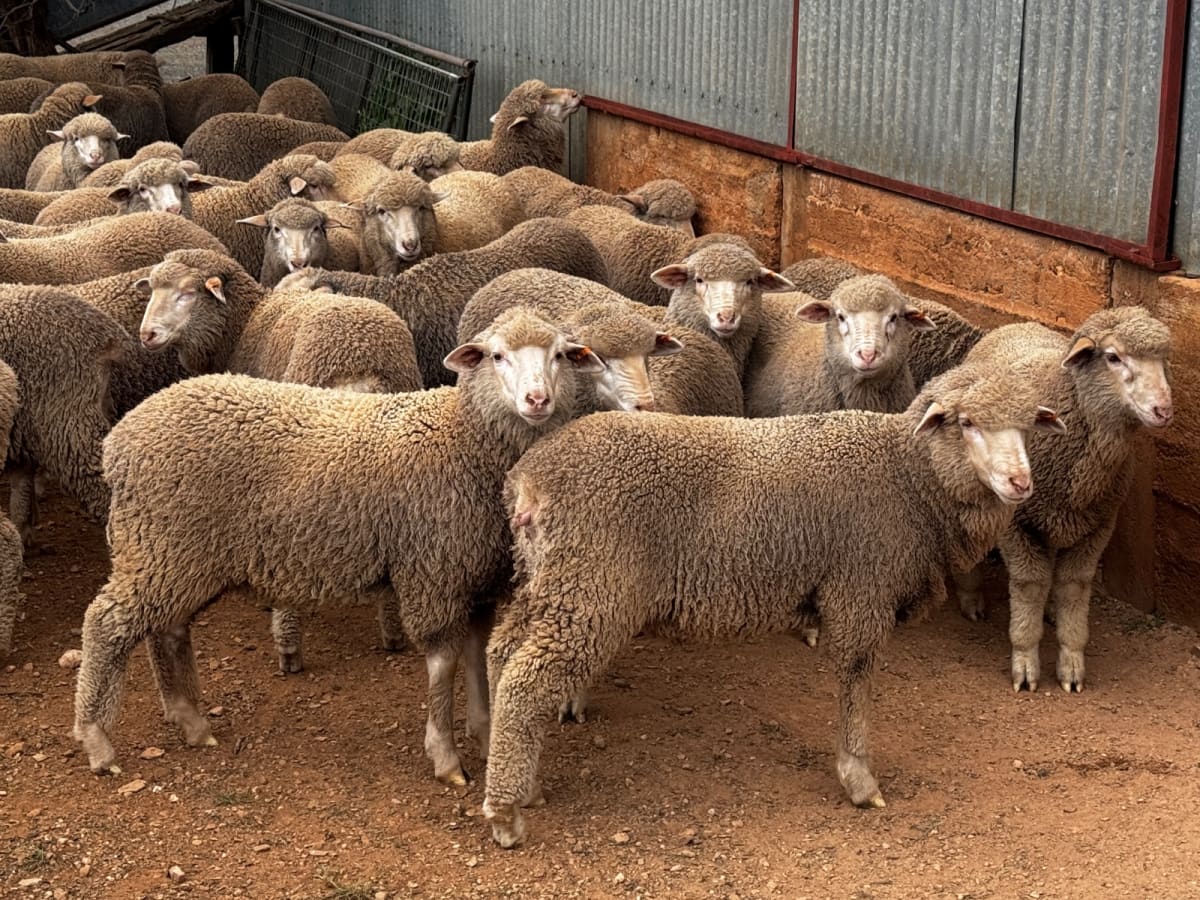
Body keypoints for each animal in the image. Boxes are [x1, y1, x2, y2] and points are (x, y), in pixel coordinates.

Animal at [72, 306, 604, 781]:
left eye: (560, 355)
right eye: (497, 356)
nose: (537, 399)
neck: (463, 439)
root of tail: (119, 441)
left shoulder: (474, 577)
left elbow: (474, 655)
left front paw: (485, 734)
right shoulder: (433, 570)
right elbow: (443, 663)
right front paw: (447, 757)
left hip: (177, 554)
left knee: (168, 629)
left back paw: (190, 721)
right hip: (159, 542)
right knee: (106, 624)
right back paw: (98, 740)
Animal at [481, 361, 1067, 847]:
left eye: (1029, 426)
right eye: (966, 423)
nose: (1020, 482)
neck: (909, 478)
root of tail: (529, 481)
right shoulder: (861, 589)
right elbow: (856, 681)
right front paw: (858, 776)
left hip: (547, 580)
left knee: (500, 654)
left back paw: (510, 772)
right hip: (591, 586)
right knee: (525, 682)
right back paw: (507, 813)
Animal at [955, 307, 1172, 694]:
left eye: (1163, 360)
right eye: (1113, 357)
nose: (1164, 409)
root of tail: (1019, 323)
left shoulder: (1097, 526)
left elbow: (1073, 587)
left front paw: (1071, 664)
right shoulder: (1017, 525)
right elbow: (1029, 584)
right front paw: (1026, 663)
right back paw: (971, 597)